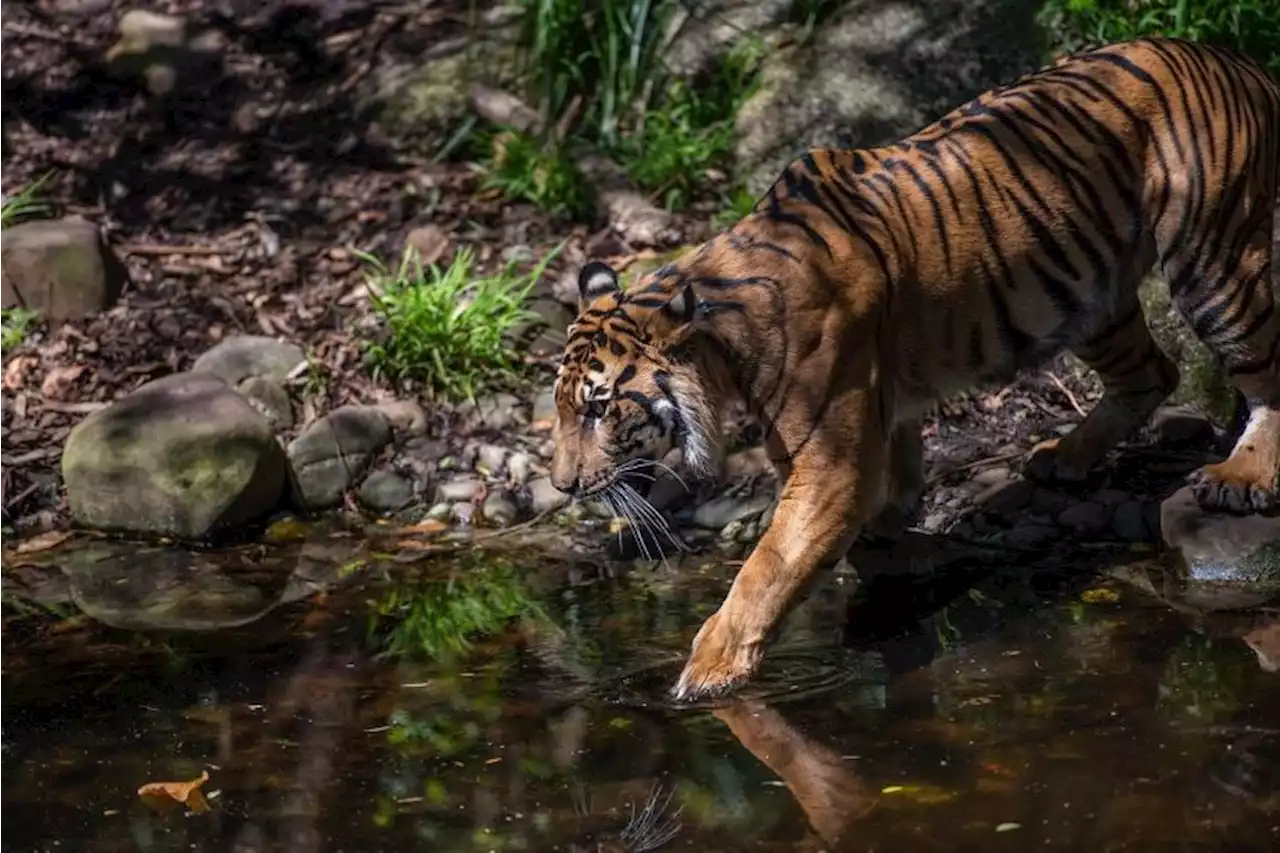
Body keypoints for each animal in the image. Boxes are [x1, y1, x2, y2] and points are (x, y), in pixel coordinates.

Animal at [552, 36, 1280, 696]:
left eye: (598, 407)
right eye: (560, 409)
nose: (561, 486)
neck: (725, 346)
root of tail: (1234, 58)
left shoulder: (830, 459)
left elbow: (769, 565)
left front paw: (707, 672)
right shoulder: (874, 419)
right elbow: (881, 495)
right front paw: (895, 543)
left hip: (1212, 259)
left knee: (1260, 370)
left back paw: (1240, 476)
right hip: (1089, 294)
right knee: (1149, 373)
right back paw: (1061, 456)